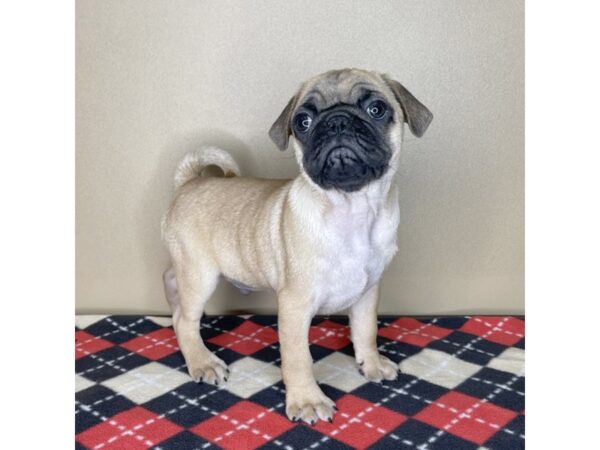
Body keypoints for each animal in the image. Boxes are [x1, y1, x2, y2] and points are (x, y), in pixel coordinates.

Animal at [159, 67, 432, 426]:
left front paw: (371, 364)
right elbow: (298, 357)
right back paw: (202, 361)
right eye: (303, 121)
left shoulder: (368, 292)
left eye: (376, 109)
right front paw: (306, 400)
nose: (337, 121)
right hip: (200, 273)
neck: (351, 209)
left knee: (170, 279)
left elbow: (366, 331)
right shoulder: (294, 305)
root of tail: (189, 182)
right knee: (184, 321)